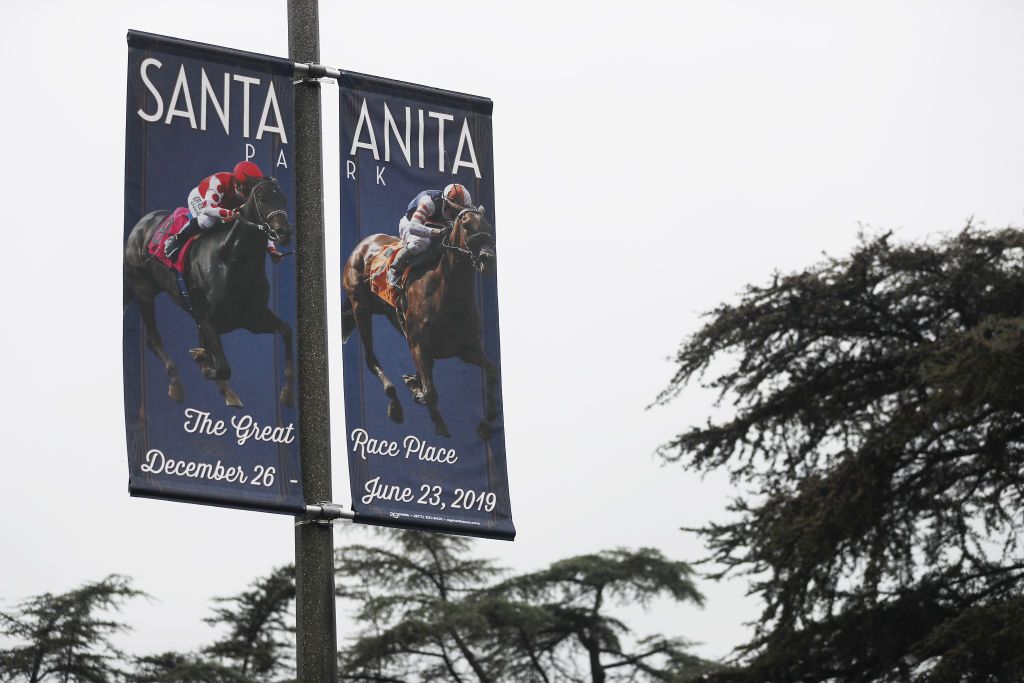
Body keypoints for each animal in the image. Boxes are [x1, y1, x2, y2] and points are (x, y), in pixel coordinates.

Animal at [122, 178, 296, 411]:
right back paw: (177, 384)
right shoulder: (205, 318)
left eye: (284, 198)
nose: (284, 232)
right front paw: (203, 361)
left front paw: (287, 393)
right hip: (143, 291)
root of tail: (141, 223)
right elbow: (222, 367)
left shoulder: (252, 318)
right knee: (153, 339)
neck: (232, 261)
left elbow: (286, 330)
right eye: (261, 198)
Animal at [342, 205, 497, 440]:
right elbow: (431, 391)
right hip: (361, 306)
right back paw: (395, 406)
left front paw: (486, 425)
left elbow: (492, 372)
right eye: (467, 226)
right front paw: (440, 426)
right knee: (370, 358)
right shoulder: (419, 347)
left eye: (488, 226)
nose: (488, 259)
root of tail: (364, 243)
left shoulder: (467, 348)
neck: (448, 294)